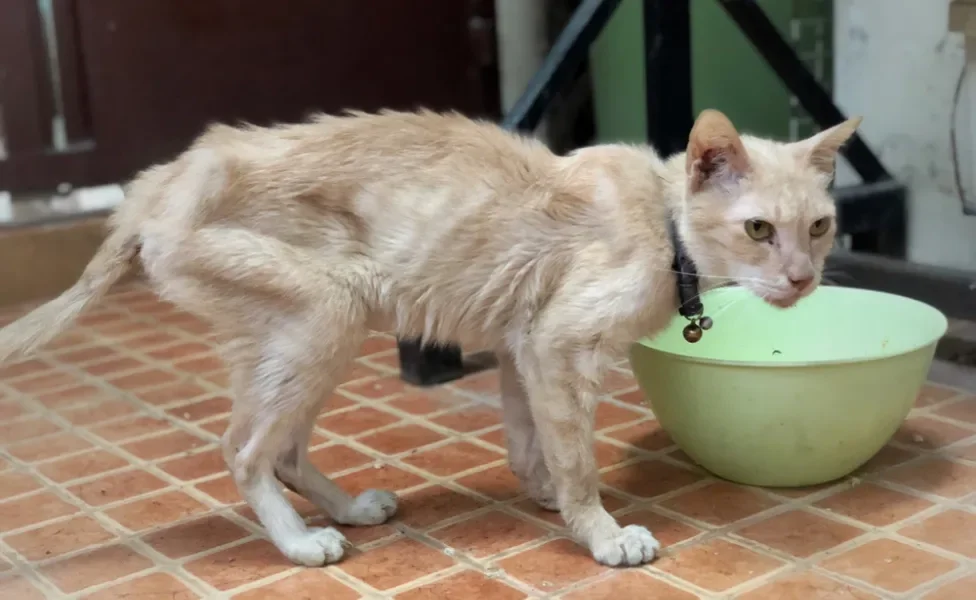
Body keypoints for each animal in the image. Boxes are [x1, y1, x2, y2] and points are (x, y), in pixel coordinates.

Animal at [0, 106, 856, 568]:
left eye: (819, 227)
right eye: (758, 230)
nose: (801, 279)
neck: (661, 219)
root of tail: (155, 186)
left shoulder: (521, 344)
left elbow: (531, 441)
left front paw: (547, 497)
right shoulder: (555, 344)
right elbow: (576, 459)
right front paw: (601, 534)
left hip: (306, 336)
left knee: (281, 448)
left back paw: (347, 509)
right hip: (326, 314)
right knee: (242, 450)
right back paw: (299, 543)